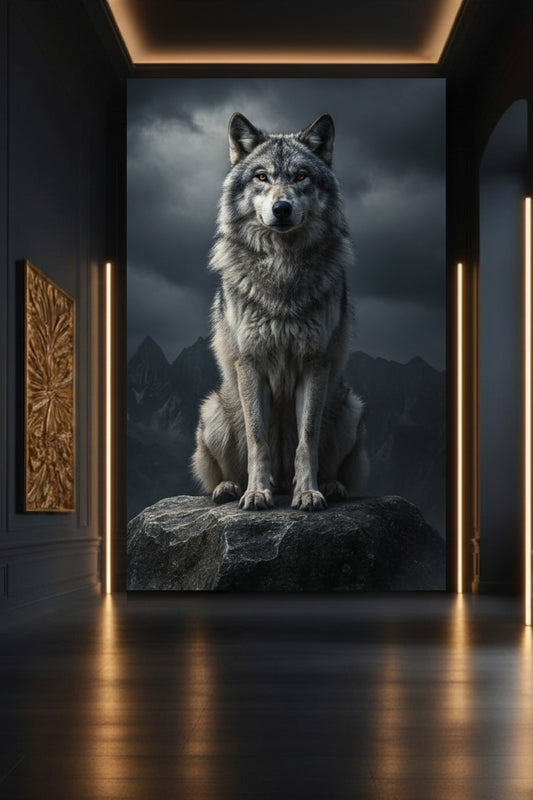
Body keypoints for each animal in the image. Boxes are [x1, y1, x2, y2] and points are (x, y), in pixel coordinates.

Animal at [192, 112, 368, 511]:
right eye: (262, 177)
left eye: (301, 176)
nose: (282, 208)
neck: (282, 270)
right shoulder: (250, 362)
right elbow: (258, 441)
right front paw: (257, 492)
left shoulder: (314, 362)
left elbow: (307, 441)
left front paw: (309, 493)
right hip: (213, 412)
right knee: (227, 470)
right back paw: (231, 488)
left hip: (349, 409)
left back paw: (329, 486)